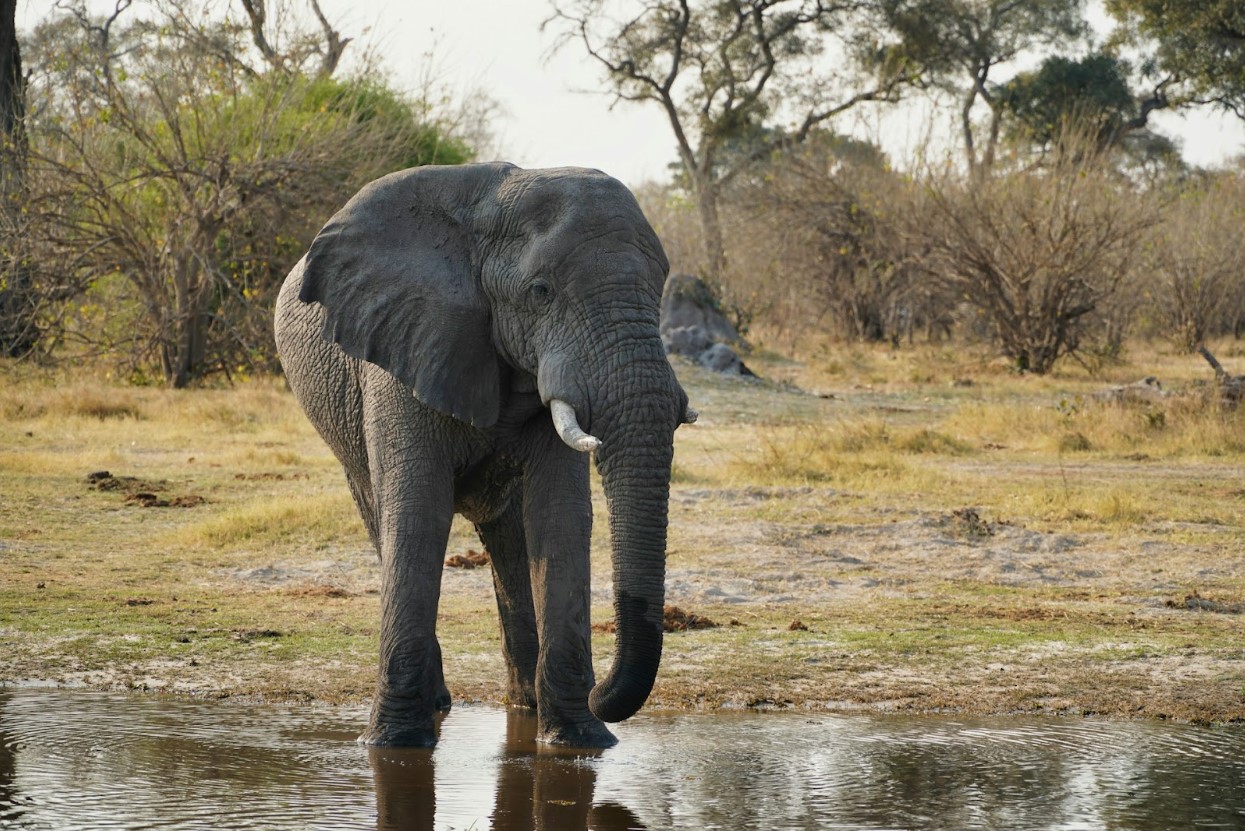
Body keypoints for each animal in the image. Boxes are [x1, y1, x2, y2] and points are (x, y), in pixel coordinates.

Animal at [274, 162, 695, 748]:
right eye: (541, 291)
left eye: (659, 292)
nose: (601, 693)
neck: (489, 210)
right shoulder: (403, 347)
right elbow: (417, 513)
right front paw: (395, 745)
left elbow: (560, 516)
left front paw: (579, 741)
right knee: (383, 519)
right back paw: (443, 704)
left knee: (510, 538)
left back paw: (527, 705)